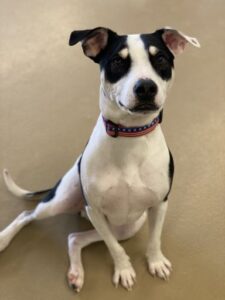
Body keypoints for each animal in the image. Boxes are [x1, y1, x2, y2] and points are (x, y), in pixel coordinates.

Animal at [0, 27, 200, 292]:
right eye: (117, 61)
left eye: (160, 60)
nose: (146, 87)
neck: (129, 137)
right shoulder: (94, 209)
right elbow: (114, 248)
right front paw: (124, 270)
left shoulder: (159, 204)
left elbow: (154, 239)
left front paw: (156, 262)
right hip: (62, 201)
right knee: (27, 215)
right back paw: (3, 239)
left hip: (126, 226)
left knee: (74, 237)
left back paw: (76, 273)